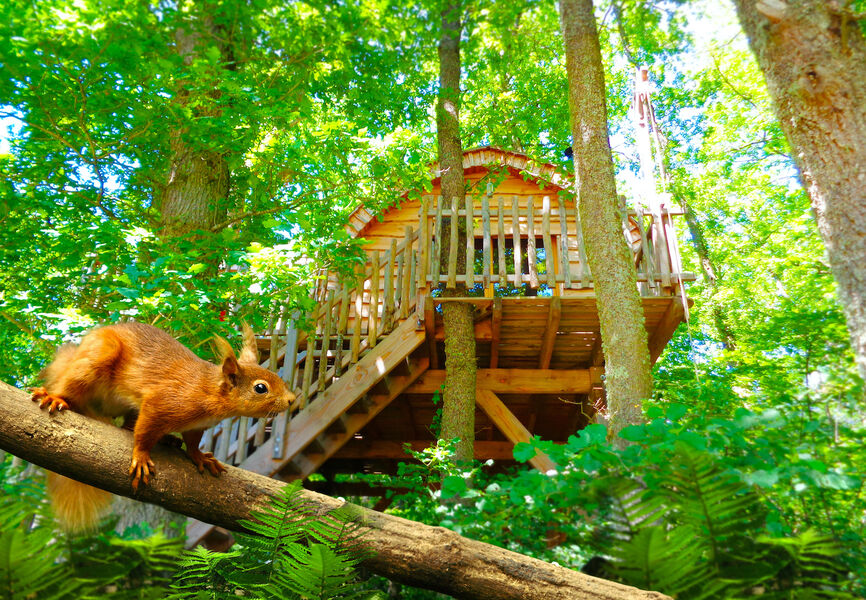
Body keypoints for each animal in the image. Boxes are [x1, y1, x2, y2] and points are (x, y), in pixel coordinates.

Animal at [30, 321, 295, 532]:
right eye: (260, 388)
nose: (292, 399)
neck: (209, 391)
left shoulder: (197, 425)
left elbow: (192, 442)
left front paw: (200, 457)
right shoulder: (160, 404)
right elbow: (144, 433)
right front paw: (141, 456)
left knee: (127, 425)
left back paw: (168, 439)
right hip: (97, 357)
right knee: (73, 386)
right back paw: (56, 397)